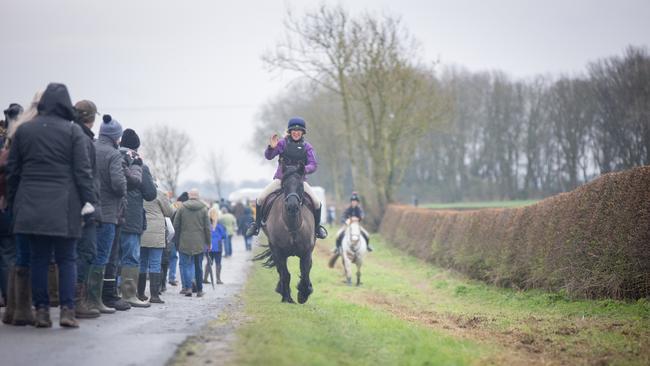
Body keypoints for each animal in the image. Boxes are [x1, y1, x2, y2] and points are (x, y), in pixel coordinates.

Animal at [252, 164, 316, 304]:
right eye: (284, 186)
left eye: (301, 185)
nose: (292, 206)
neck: (292, 226)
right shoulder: (278, 252)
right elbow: (285, 274)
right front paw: (287, 298)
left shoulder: (306, 252)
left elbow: (305, 272)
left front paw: (303, 293)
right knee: (281, 271)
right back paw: (281, 290)